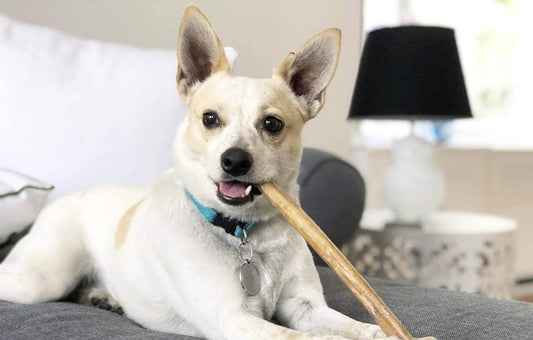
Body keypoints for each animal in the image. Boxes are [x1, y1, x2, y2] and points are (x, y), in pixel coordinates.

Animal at [0, 5, 432, 340]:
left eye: (272, 124)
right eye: (210, 119)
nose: (235, 160)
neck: (245, 234)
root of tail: (71, 197)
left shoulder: (305, 306)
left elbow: (361, 328)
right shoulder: (232, 319)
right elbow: (313, 339)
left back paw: (101, 296)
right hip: (40, 279)